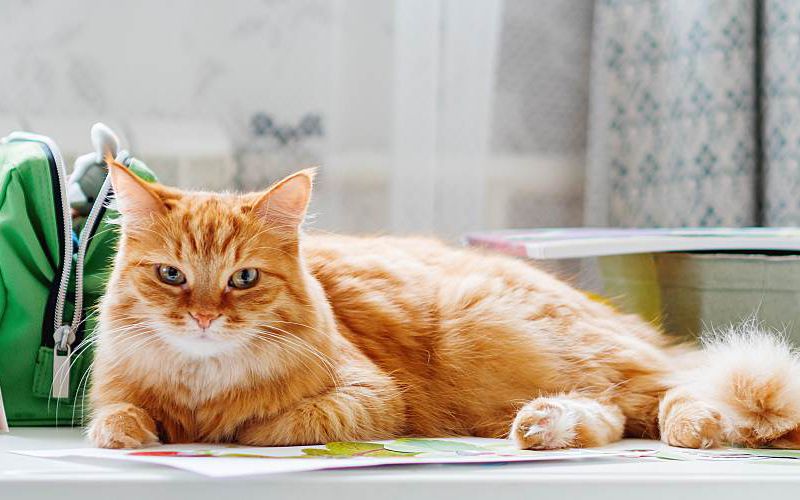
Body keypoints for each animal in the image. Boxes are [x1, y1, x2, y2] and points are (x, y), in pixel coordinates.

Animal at [87, 160, 800, 450]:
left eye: (243, 279)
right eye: (172, 275)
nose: (204, 318)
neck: (202, 381)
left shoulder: (372, 397)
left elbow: (275, 423)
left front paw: (229, 428)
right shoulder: (116, 389)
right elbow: (117, 417)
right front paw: (136, 432)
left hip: (488, 328)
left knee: (674, 388)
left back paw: (696, 427)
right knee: (614, 414)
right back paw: (543, 428)